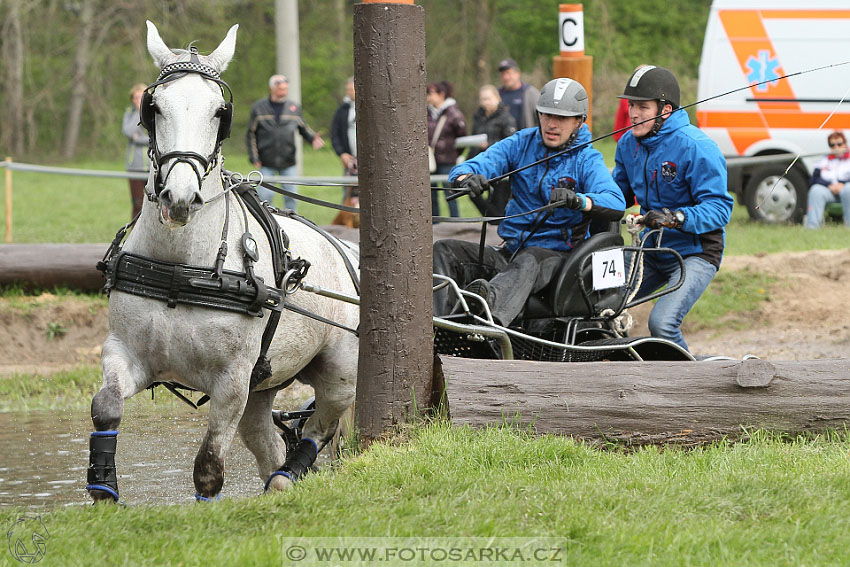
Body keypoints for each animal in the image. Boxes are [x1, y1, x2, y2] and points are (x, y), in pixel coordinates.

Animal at [88, 21, 358, 502]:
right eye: (154, 107)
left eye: (219, 112)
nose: (179, 198)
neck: (182, 268)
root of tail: (347, 251)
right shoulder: (126, 352)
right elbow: (106, 407)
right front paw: (103, 486)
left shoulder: (231, 380)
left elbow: (209, 465)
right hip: (262, 386)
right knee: (268, 442)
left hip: (338, 375)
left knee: (319, 428)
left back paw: (289, 475)